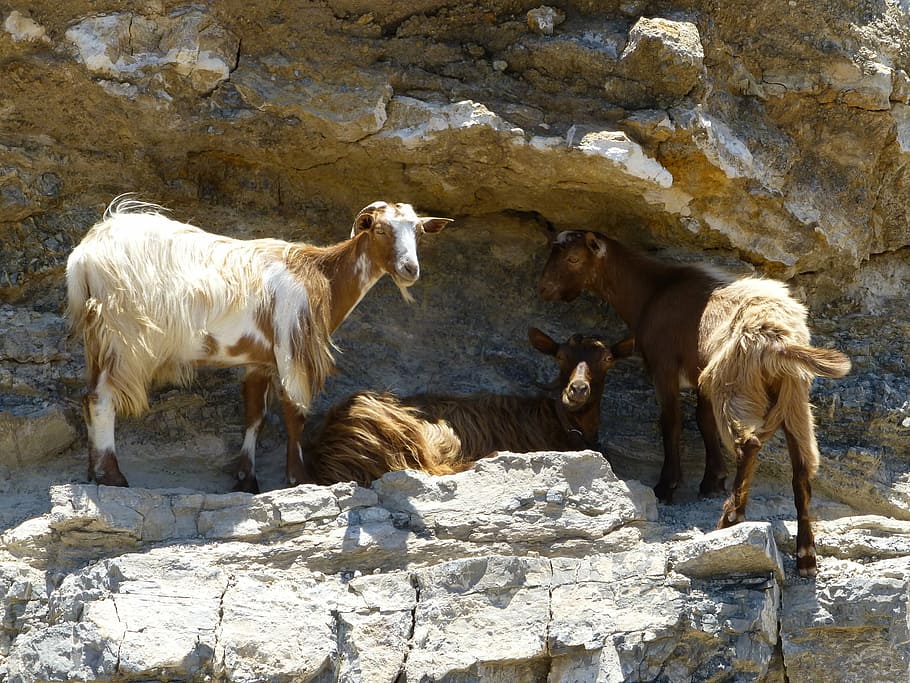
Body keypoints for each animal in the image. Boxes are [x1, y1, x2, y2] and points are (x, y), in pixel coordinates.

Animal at [66, 196, 451, 493]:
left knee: (87, 397)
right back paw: (112, 476)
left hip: (97, 339)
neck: (321, 275)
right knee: (102, 399)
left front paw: (246, 480)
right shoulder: (290, 348)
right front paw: (299, 478)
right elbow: (295, 412)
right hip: (123, 335)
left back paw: (92, 472)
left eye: (418, 232)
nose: (410, 270)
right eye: (381, 229)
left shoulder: (258, 359)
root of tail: (85, 255)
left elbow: (254, 415)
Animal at [538, 230, 851, 576]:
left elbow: (671, 421)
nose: (543, 288)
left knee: (749, 443)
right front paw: (712, 480)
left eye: (573, 258)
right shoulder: (700, 377)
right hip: (794, 395)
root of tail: (780, 341)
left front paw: (667, 486)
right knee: (802, 469)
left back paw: (731, 516)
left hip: (734, 382)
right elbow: (703, 420)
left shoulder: (664, 366)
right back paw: (806, 555)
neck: (652, 293)